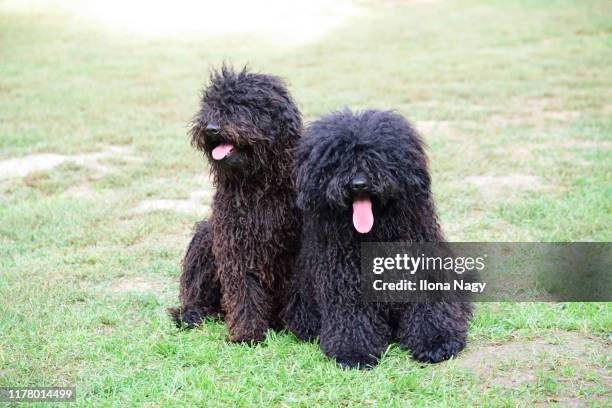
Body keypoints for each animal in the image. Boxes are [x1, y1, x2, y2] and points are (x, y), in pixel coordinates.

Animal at [169, 67, 302, 344]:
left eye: (243, 105)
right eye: (210, 105)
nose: (211, 128)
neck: (257, 187)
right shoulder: (236, 246)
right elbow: (244, 290)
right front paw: (247, 334)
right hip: (204, 239)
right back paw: (192, 314)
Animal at [284, 110, 474, 368]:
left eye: (377, 157)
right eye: (338, 161)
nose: (359, 184)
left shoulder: (422, 270)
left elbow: (428, 308)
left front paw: (436, 342)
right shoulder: (344, 283)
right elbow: (351, 317)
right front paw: (354, 353)